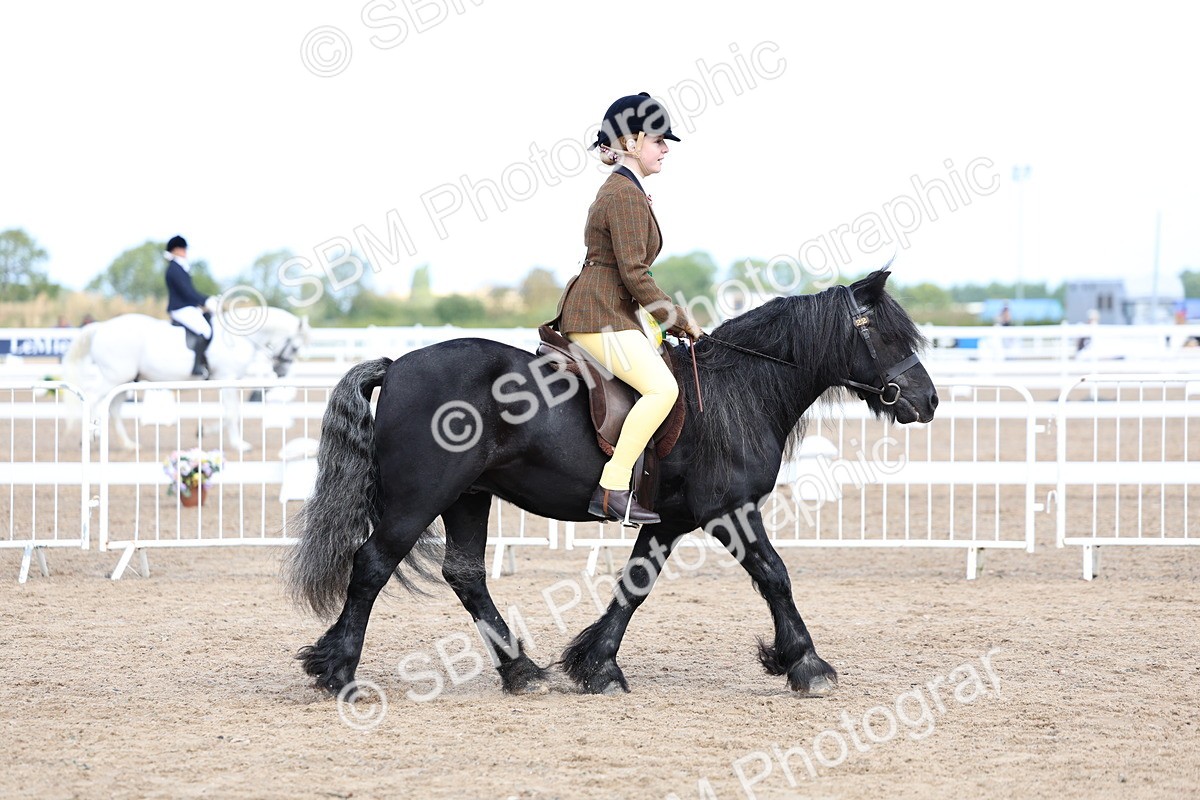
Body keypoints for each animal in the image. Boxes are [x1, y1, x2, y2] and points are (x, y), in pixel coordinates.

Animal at [63, 306, 310, 451]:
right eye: (295, 347)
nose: (281, 372)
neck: (239, 336)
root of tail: (100, 327)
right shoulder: (227, 377)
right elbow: (232, 413)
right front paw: (238, 444)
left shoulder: (227, 380)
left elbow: (231, 412)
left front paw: (204, 431)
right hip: (114, 376)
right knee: (93, 398)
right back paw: (89, 437)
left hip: (125, 380)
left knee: (113, 408)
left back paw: (128, 444)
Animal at [285, 269, 937, 698]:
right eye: (887, 335)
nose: (928, 401)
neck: (742, 387)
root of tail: (396, 365)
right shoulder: (729, 510)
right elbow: (775, 575)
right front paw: (807, 664)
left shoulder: (669, 521)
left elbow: (634, 586)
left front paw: (595, 664)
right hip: (419, 498)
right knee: (372, 564)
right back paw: (337, 671)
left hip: (468, 498)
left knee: (465, 575)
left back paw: (522, 671)